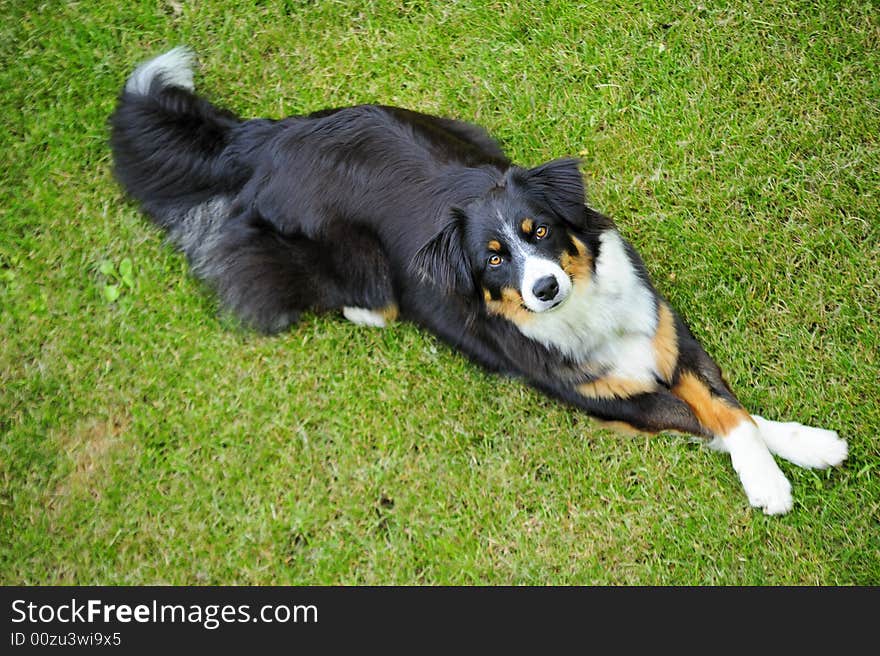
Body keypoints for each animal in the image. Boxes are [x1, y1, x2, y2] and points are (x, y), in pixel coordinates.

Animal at [110, 48, 844, 516]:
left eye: (537, 229)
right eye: (492, 259)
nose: (543, 288)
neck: (580, 313)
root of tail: (268, 137)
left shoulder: (665, 333)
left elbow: (730, 406)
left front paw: (807, 444)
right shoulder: (613, 403)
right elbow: (708, 418)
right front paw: (769, 484)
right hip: (358, 267)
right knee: (349, 298)